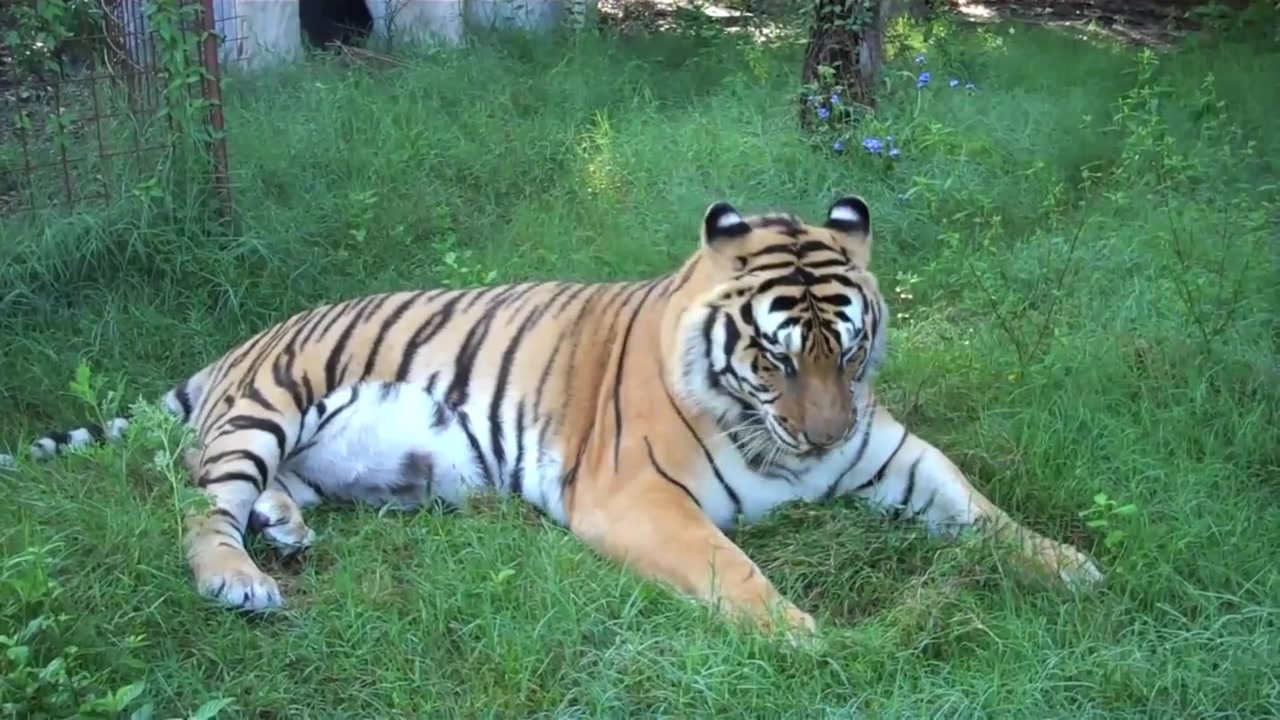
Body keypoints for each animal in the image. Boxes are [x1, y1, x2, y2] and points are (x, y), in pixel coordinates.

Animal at [1, 195, 1104, 639]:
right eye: (775, 358)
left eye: (851, 350)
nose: (824, 436)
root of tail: (232, 347)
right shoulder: (634, 499)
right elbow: (733, 570)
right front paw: (800, 637)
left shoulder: (886, 450)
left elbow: (980, 506)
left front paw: (1069, 565)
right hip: (263, 409)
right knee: (197, 507)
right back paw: (241, 578)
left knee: (263, 490)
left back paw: (287, 526)